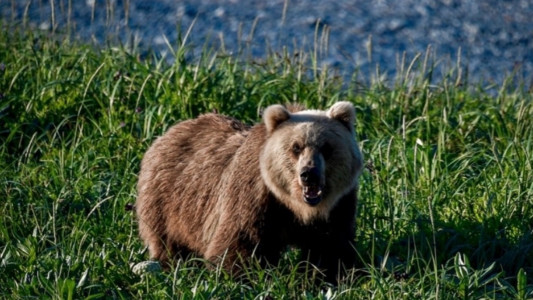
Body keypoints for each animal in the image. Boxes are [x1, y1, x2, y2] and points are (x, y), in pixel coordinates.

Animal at [135, 102, 364, 282]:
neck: (297, 208)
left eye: (326, 147)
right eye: (296, 147)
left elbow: (331, 249)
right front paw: (241, 277)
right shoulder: (254, 198)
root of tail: (171, 130)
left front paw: (330, 276)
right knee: (167, 241)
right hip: (167, 201)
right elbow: (239, 244)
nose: (309, 174)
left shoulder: (338, 206)